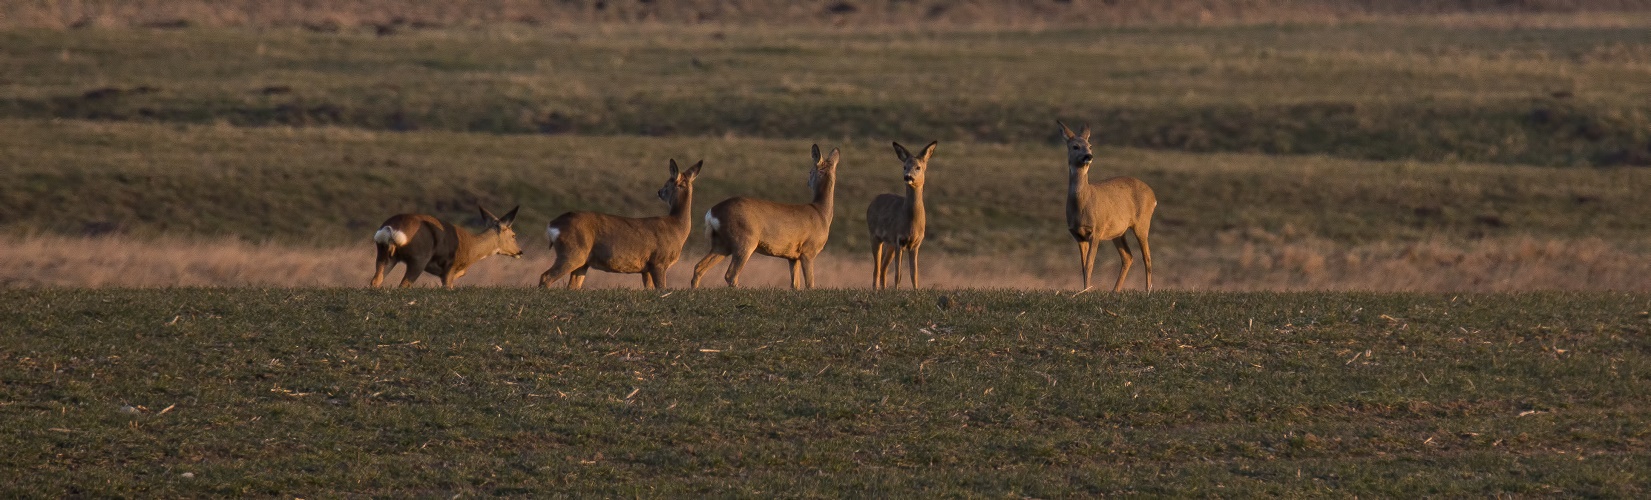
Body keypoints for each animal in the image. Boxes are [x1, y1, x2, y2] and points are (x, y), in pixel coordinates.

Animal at [369, 204, 518, 290]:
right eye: (513, 235)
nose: (519, 251)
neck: (472, 247)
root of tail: (390, 229)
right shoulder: (449, 269)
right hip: (419, 258)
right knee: (403, 285)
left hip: (384, 255)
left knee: (375, 281)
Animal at [538, 156, 700, 290]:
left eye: (666, 184)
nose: (659, 191)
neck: (676, 227)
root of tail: (553, 225)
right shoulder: (658, 261)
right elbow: (661, 289)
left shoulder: (646, 268)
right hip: (573, 252)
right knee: (546, 276)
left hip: (582, 261)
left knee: (571, 286)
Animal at [690, 144, 838, 290]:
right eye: (810, 171)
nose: (807, 182)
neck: (821, 212)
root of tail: (712, 212)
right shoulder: (808, 251)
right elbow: (810, 284)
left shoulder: (793, 256)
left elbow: (795, 285)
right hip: (745, 239)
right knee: (730, 274)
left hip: (721, 243)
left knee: (699, 267)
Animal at [871, 140, 937, 290]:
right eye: (904, 166)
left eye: (918, 167)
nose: (907, 177)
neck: (911, 223)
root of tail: (873, 201)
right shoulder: (899, 240)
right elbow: (898, 273)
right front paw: (896, 290)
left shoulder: (916, 244)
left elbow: (914, 273)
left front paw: (916, 290)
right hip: (874, 236)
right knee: (877, 268)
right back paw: (875, 290)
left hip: (889, 244)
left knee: (883, 267)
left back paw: (883, 290)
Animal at [1056, 122, 1162, 293]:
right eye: (1075, 146)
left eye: (1090, 146)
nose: (1089, 156)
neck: (1082, 204)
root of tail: (1153, 196)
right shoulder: (1078, 235)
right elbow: (1083, 266)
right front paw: (1085, 289)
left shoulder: (1096, 230)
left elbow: (1090, 263)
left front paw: (1087, 291)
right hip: (1118, 232)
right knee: (1128, 256)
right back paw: (1115, 290)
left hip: (1142, 222)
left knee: (1147, 257)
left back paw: (1147, 290)